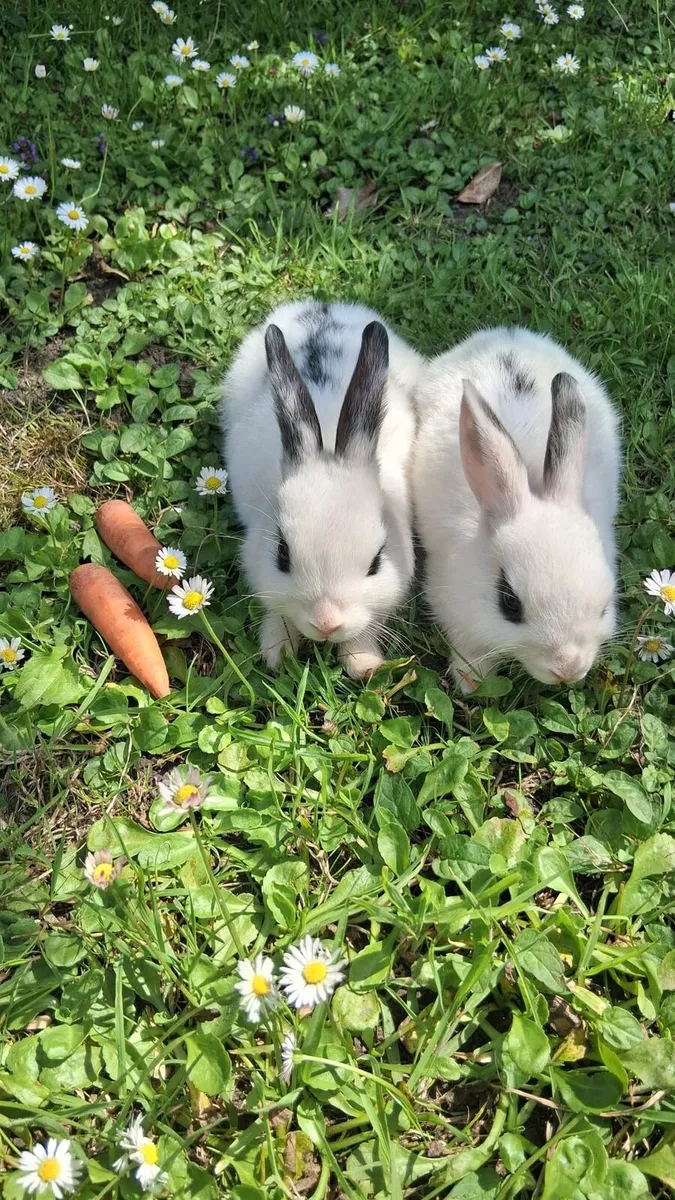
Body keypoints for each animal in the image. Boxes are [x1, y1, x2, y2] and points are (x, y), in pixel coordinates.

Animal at [221, 299, 422, 679]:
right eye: (282, 555)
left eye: (377, 562)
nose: (327, 623)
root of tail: (322, 307)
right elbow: (278, 612)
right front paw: (277, 654)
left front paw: (364, 665)